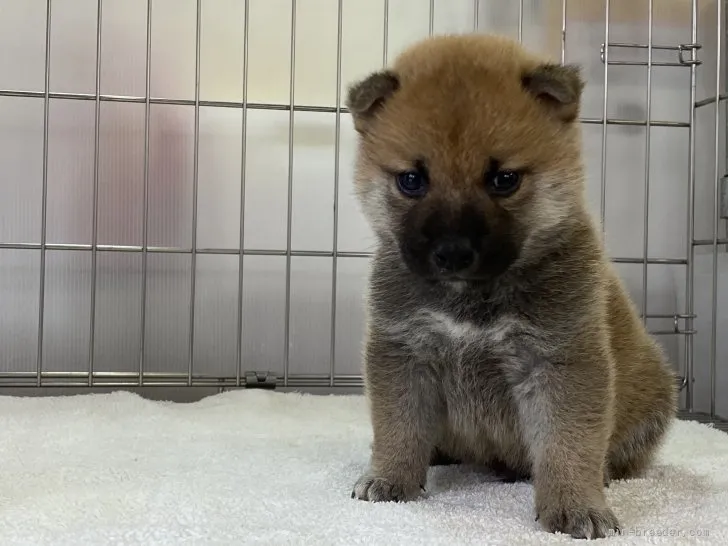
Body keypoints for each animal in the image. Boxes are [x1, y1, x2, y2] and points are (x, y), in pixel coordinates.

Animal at [346, 35, 676, 540]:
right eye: (412, 180)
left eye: (504, 180)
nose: (453, 251)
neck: (470, 298)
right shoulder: (404, 353)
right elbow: (397, 427)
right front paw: (390, 479)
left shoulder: (559, 361)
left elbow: (567, 442)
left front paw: (575, 505)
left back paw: (600, 473)